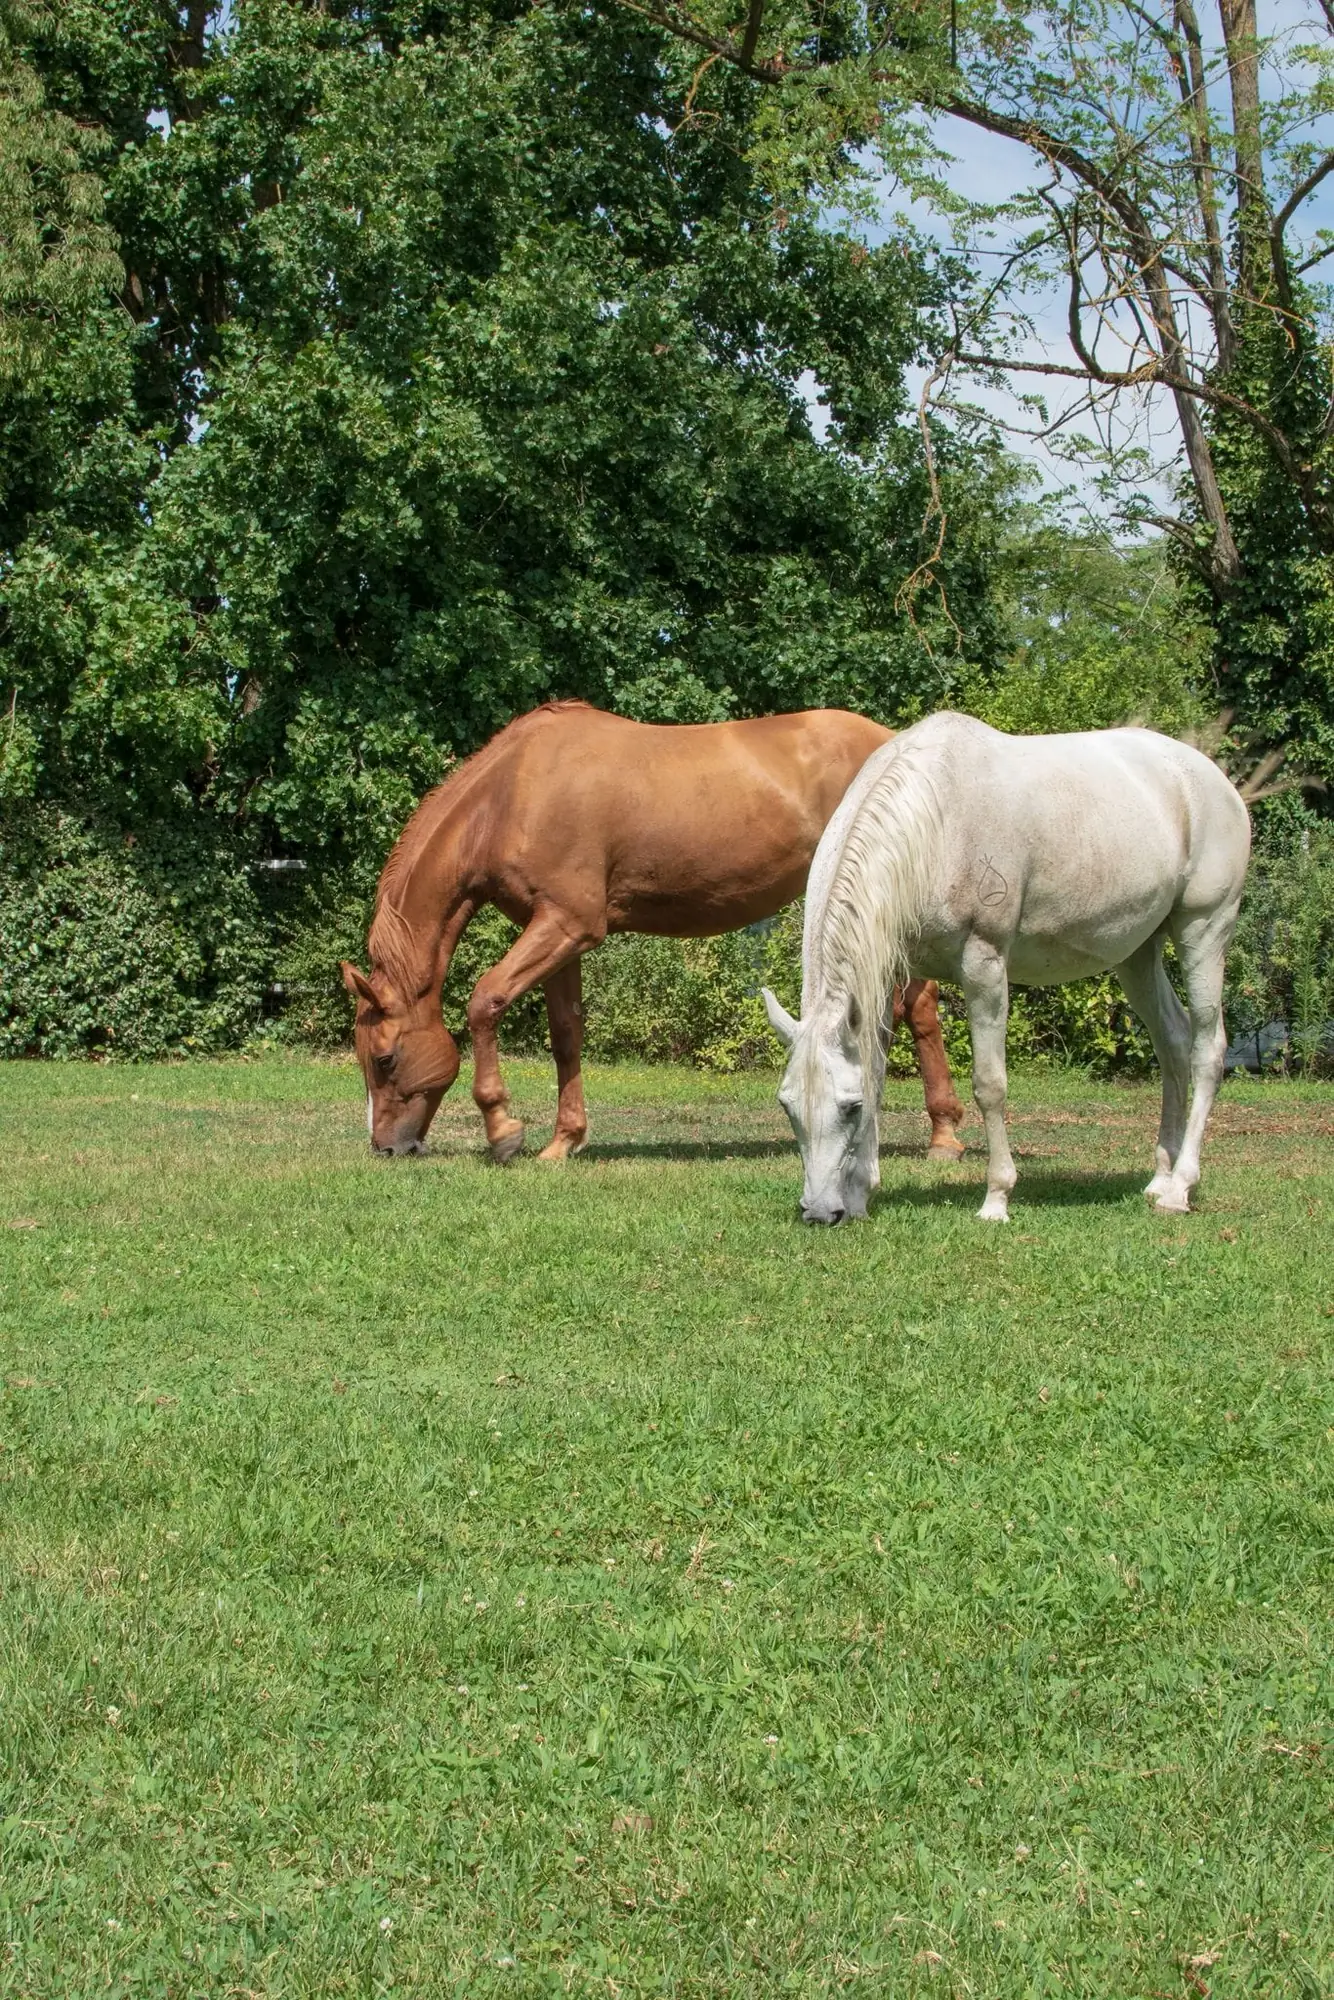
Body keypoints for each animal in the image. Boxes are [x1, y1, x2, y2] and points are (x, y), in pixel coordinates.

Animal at [340, 701, 966, 1162]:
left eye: (385, 1059)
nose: (388, 1148)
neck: (511, 794)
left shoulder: (567, 925)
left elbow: (484, 1001)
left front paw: (502, 1131)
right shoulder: (560, 934)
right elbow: (566, 1034)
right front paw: (563, 1142)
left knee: (919, 1007)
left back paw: (944, 1137)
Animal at [762, 712, 1251, 1224]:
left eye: (849, 1108)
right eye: (787, 1106)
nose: (819, 1212)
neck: (934, 823)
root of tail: (1209, 775)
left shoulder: (985, 967)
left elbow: (989, 1084)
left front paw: (996, 1198)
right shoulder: (886, 973)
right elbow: (875, 1072)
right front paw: (860, 1195)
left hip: (1204, 930)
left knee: (1207, 1050)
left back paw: (1181, 1187)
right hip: (1138, 953)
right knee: (1172, 1041)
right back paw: (1159, 1179)